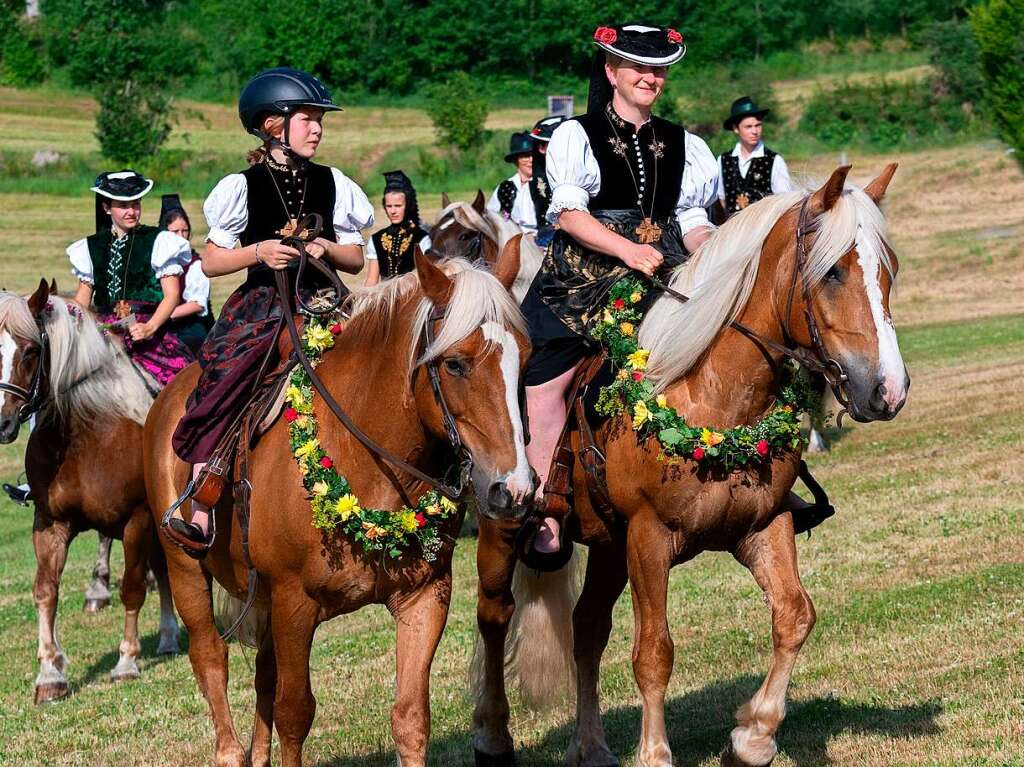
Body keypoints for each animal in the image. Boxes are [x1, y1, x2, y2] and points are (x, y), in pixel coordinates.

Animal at [0, 280, 180, 700]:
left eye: (30, 351)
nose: (1, 423)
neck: (85, 435)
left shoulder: (136, 520)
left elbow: (132, 589)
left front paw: (126, 662)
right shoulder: (50, 524)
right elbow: (45, 591)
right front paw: (50, 675)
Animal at [146, 248, 536, 761]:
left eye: (526, 357)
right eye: (455, 364)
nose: (513, 489)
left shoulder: (426, 595)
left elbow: (410, 717)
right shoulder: (294, 601)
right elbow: (294, 714)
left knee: (263, 676)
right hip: (185, 566)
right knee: (211, 657)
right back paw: (230, 750)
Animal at [473, 164, 913, 761]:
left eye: (889, 270)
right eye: (834, 273)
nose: (887, 389)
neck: (710, 393)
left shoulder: (762, 526)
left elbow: (794, 616)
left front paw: (753, 737)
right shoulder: (649, 537)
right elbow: (654, 651)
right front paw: (656, 754)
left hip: (609, 546)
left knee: (587, 630)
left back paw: (592, 746)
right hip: (507, 524)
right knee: (494, 619)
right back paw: (492, 736)